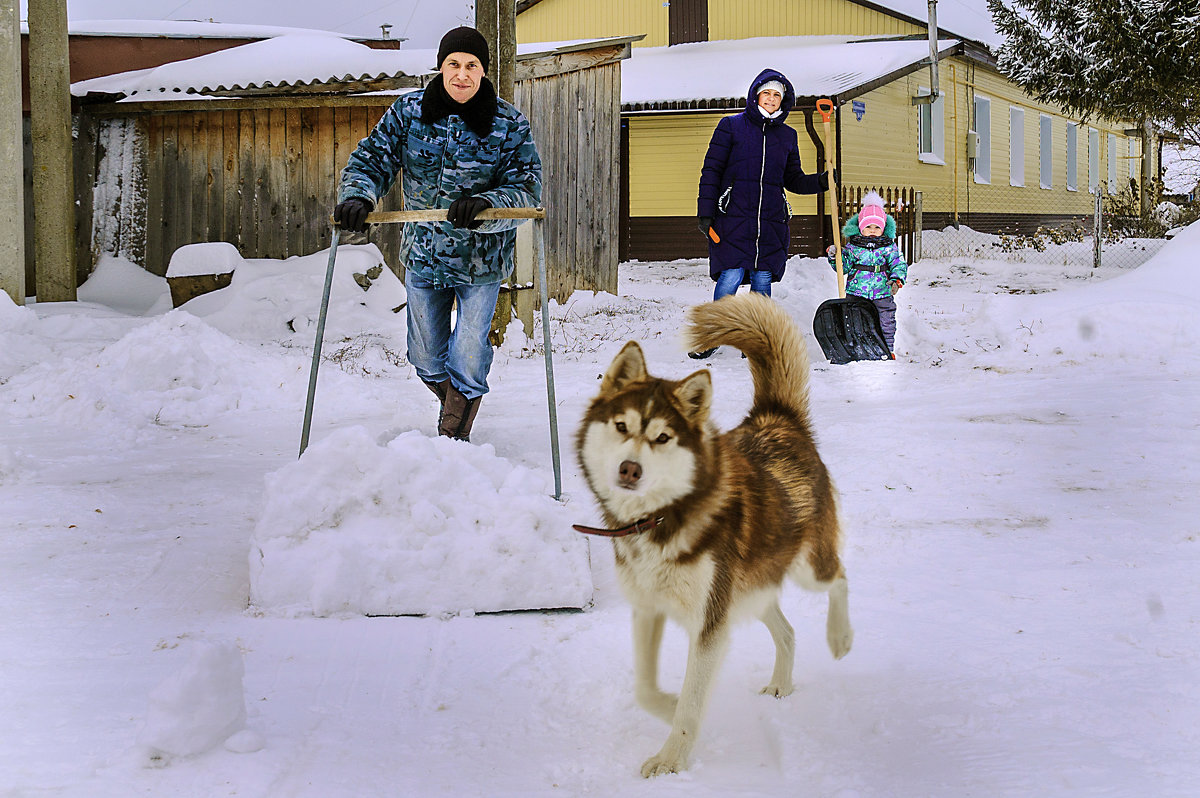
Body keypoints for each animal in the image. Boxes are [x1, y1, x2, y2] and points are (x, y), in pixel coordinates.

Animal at [573, 294, 849, 777]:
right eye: (622, 426)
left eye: (663, 437)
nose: (629, 469)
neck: (661, 520)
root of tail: (775, 417)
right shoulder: (649, 609)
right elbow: (645, 689)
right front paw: (669, 705)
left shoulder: (709, 623)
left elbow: (691, 701)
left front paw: (671, 757)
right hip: (749, 588)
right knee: (787, 630)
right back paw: (781, 683)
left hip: (806, 568)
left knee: (839, 579)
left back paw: (840, 637)